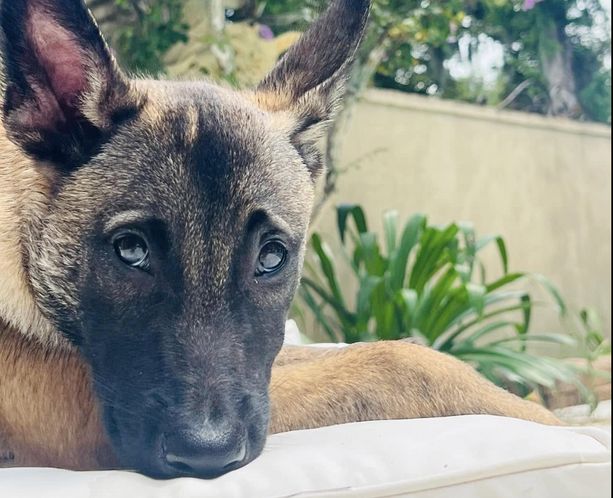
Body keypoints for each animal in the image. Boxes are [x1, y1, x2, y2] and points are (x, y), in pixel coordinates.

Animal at [0, 0, 559, 480]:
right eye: (130, 250)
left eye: (272, 257)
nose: (207, 457)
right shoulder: (74, 410)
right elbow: (397, 364)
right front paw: (561, 425)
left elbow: (385, 354)